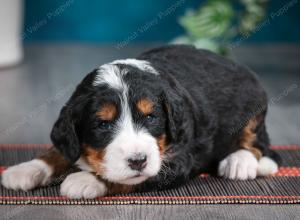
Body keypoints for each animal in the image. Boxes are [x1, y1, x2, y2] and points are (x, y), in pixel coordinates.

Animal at [1, 45, 280, 199]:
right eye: (103, 125)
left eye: (151, 117)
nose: (137, 159)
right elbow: (58, 151)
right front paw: (26, 169)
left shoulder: (178, 158)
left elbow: (133, 178)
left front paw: (86, 180)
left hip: (254, 104)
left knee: (258, 143)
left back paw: (240, 162)